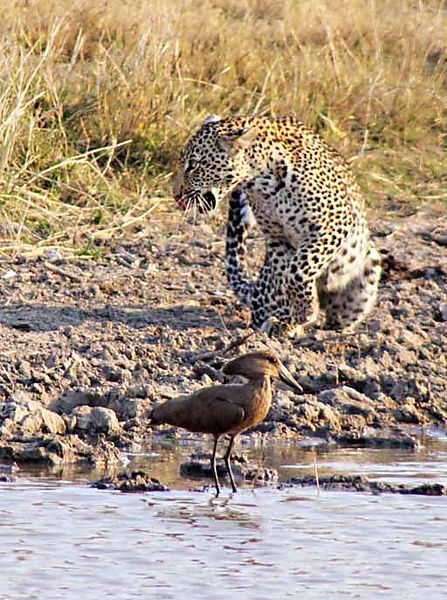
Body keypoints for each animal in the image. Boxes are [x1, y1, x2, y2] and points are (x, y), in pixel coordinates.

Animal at [173, 115, 384, 336]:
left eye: (193, 165)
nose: (176, 195)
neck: (261, 181)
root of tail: (255, 287)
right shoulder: (277, 238)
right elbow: (288, 274)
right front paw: (296, 315)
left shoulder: (333, 223)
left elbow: (299, 268)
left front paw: (305, 310)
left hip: (369, 267)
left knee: (338, 318)